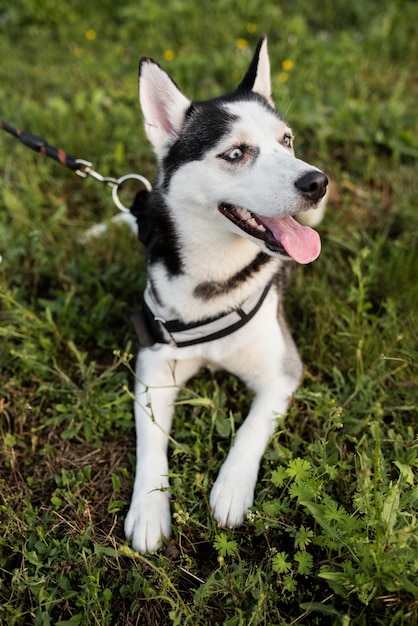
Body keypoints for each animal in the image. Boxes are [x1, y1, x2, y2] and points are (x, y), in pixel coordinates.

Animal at [122, 35, 328, 552]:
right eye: (235, 154)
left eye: (286, 140)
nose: (316, 182)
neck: (215, 280)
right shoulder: (153, 366)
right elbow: (150, 442)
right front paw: (149, 508)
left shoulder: (281, 373)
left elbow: (250, 430)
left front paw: (232, 489)